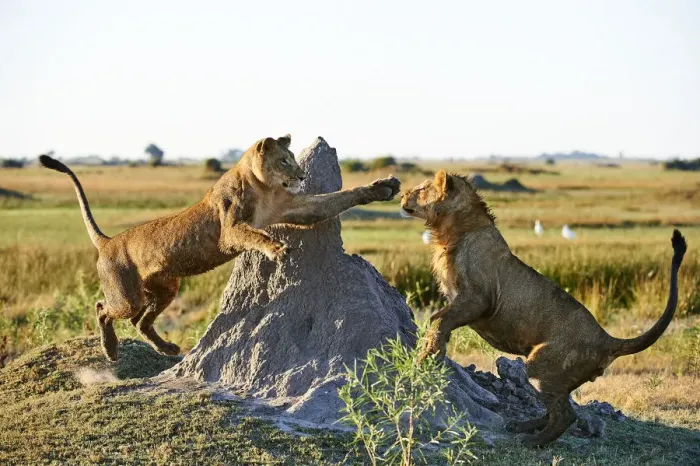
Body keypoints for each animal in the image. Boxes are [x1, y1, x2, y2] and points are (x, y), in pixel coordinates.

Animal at [40, 135, 401, 362]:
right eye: (285, 161)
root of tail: (108, 241)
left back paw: (168, 350)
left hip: (166, 288)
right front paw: (275, 249)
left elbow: (336, 200)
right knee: (104, 309)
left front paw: (383, 187)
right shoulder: (229, 231)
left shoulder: (295, 208)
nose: (300, 176)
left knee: (141, 322)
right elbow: (254, 235)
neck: (262, 186)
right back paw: (112, 350)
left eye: (295, 161)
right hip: (127, 296)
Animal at [400, 170, 687, 447]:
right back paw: (522, 426)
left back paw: (531, 440)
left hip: (541, 364)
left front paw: (428, 355)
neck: (449, 231)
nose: (402, 194)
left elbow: (441, 319)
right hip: (557, 376)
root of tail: (606, 339)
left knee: (565, 415)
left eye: (421, 188)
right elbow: (440, 317)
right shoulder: (460, 297)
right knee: (559, 408)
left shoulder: (480, 297)